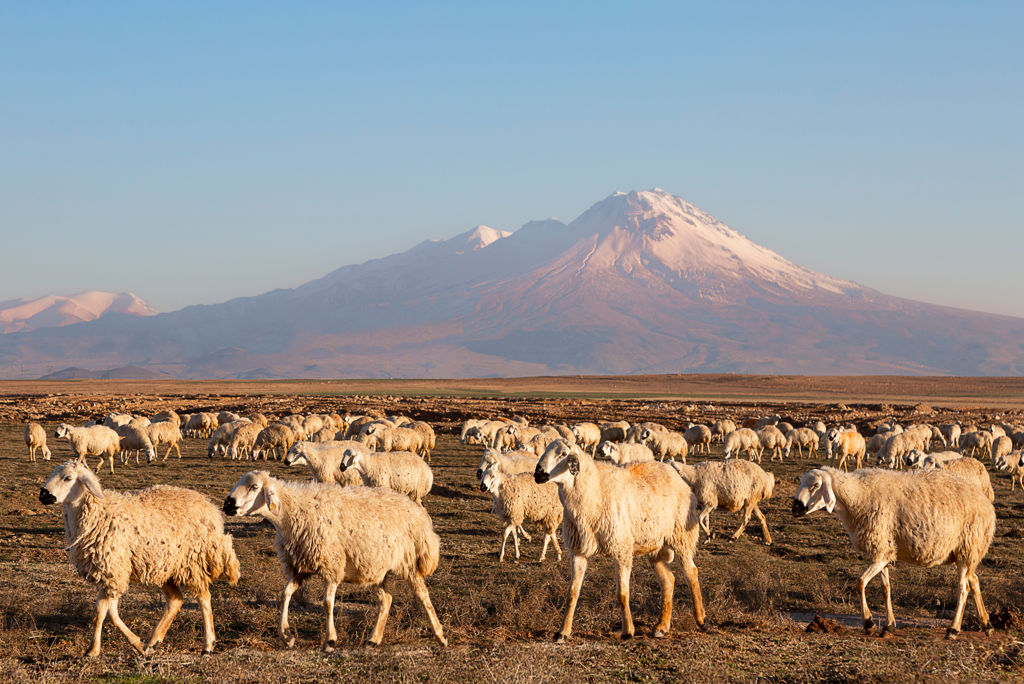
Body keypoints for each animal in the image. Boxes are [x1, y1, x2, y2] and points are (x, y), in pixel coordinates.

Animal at [39, 458, 239, 655]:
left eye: (68, 478)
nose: (42, 495)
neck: (98, 513)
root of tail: (211, 508)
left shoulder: (114, 570)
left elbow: (101, 612)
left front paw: (93, 650)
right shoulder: (110, 574)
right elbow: (111, 613)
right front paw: (137, 644)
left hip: (192, 563)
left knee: (204, 598)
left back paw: (208, 645)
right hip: (166, 566)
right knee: (175, 600)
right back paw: (153, 642)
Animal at [224, 473, 448, 651]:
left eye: (254, 487)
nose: (227, 504)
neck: (292, 513)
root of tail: (415, 512)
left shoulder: (332, 565)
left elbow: (327, 603)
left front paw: (330, 641)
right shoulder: (299, 567)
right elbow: (285, 595)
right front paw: (287, 636)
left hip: (407, 562)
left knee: (422, 595)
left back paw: (440, 635)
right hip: (375, 568)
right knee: (387, 599)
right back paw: (373, 640)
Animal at [532, 438, 708, 643]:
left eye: (563, 454)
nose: (538, 474)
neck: (594, 491)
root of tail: (675, 475)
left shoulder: (621, 549)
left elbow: (622, 594)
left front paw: (628, 631)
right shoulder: (578, 552)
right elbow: (572, 594)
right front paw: (562, 632)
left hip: (681, 537)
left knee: (691, 573)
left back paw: (701, 619)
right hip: (656, 545)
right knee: (668, 580)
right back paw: (661, 627)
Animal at [790, 466, 991, 638]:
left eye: (816, 485)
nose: (795, 508)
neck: (856, 497)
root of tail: (984, 500)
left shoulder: (880, 553)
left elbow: (860, 583)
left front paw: (869, 623)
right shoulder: (883, 551)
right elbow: (885, 588)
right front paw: (889, 625)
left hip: (967, 548)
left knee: (964, 588)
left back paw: (954, 630)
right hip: (963, 553)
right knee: (974, 580)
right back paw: (986, 624)